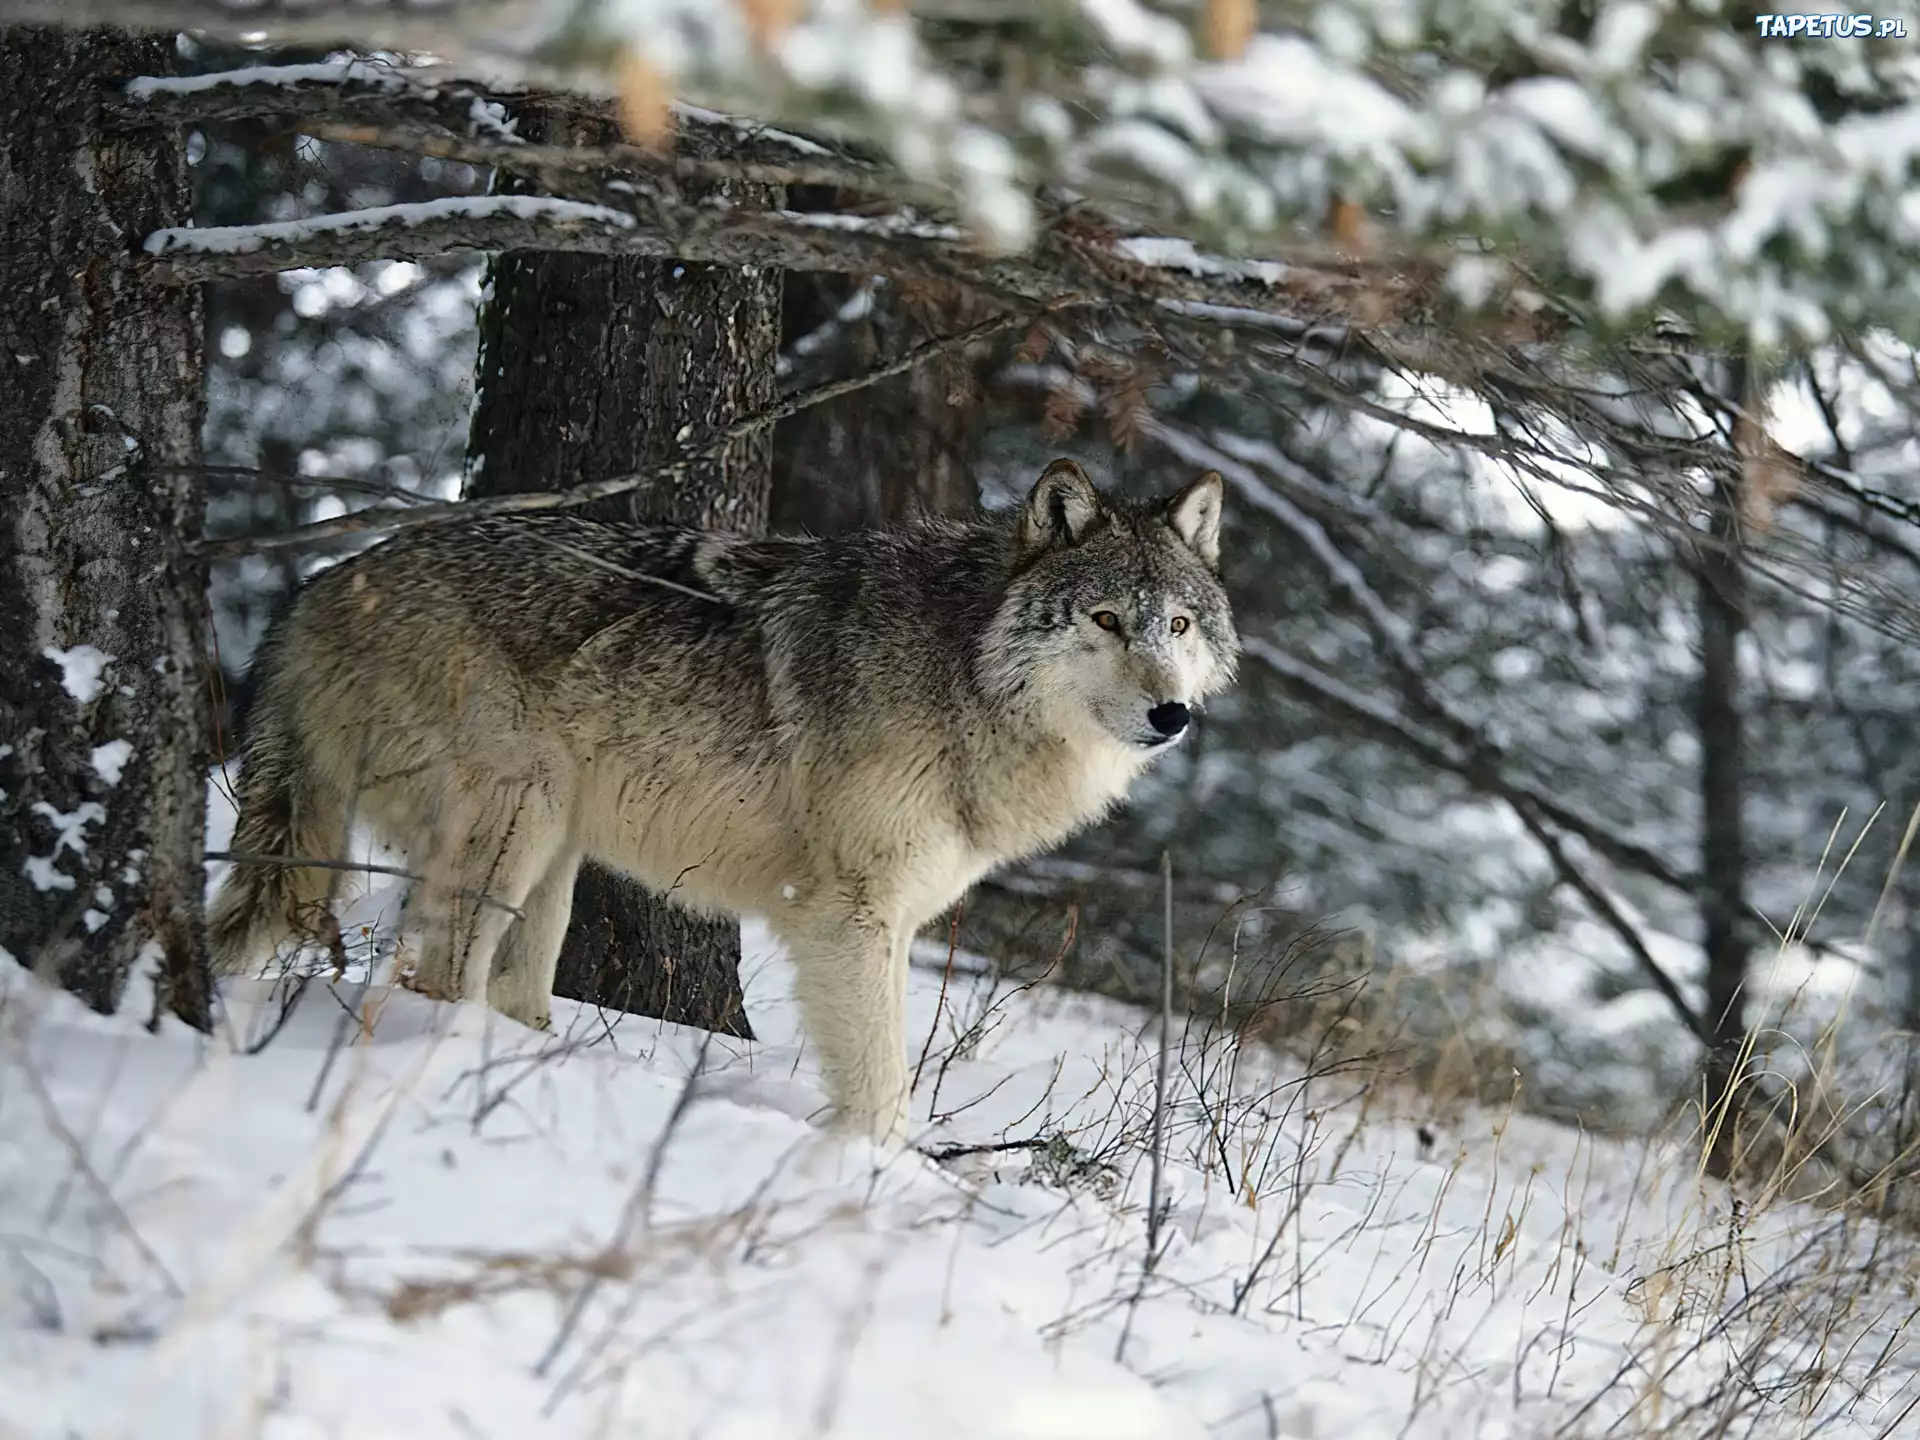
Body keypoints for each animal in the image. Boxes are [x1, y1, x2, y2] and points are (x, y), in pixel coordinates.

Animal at [210, 458, 1244, 1136]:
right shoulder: (848, 915)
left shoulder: (892, 917)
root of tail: (318, 586)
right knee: (437, 982)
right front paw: (877, 1181)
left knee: (509, 990)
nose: (1171, 715)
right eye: (1104, 619)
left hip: (553, 852)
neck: (963, 669)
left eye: (1178, 625)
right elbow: (882, 1087)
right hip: (515, 822)